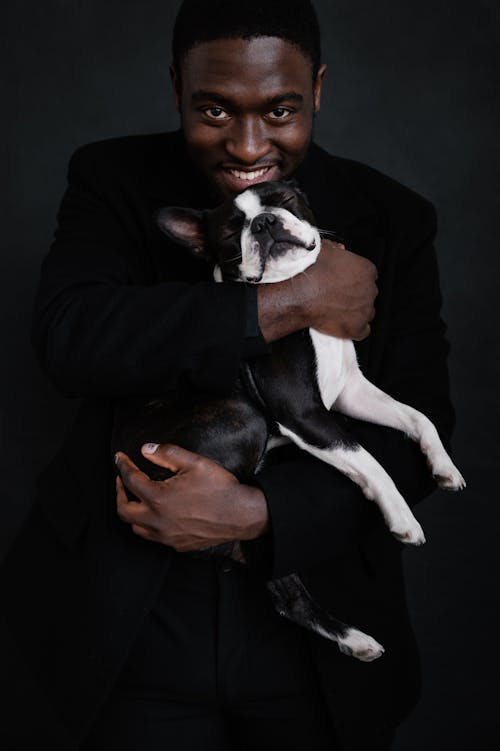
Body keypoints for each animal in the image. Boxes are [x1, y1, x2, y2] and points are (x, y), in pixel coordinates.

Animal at [111, 184, 462, 664]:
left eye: (285, 198)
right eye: (230, 232)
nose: (263, 223)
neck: (298, 296)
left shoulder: (350, 391)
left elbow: (416, 415)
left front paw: (443, 465)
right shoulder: (302, 412)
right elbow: (367, 458)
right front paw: (401, 516)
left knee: (280, 579)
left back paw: (353, 639)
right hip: (243, 417)